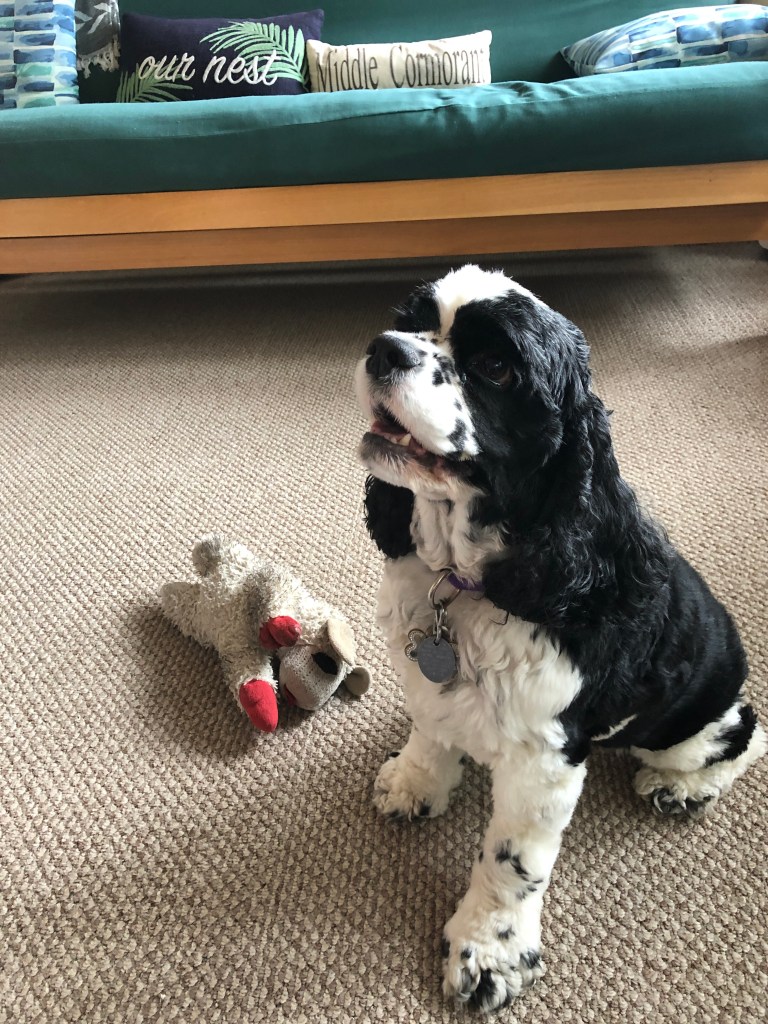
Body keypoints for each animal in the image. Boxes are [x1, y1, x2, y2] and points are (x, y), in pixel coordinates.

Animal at [355, 264, 766, 1012]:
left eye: (495, 366)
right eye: (411, 319)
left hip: (691, 717)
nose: (383, 348)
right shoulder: (429, 679)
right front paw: (415, 781)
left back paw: (682, 787)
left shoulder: (544, 759)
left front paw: (489, 951)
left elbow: (510, 865)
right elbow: (431, 726)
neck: (474, 582)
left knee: (747, 732)